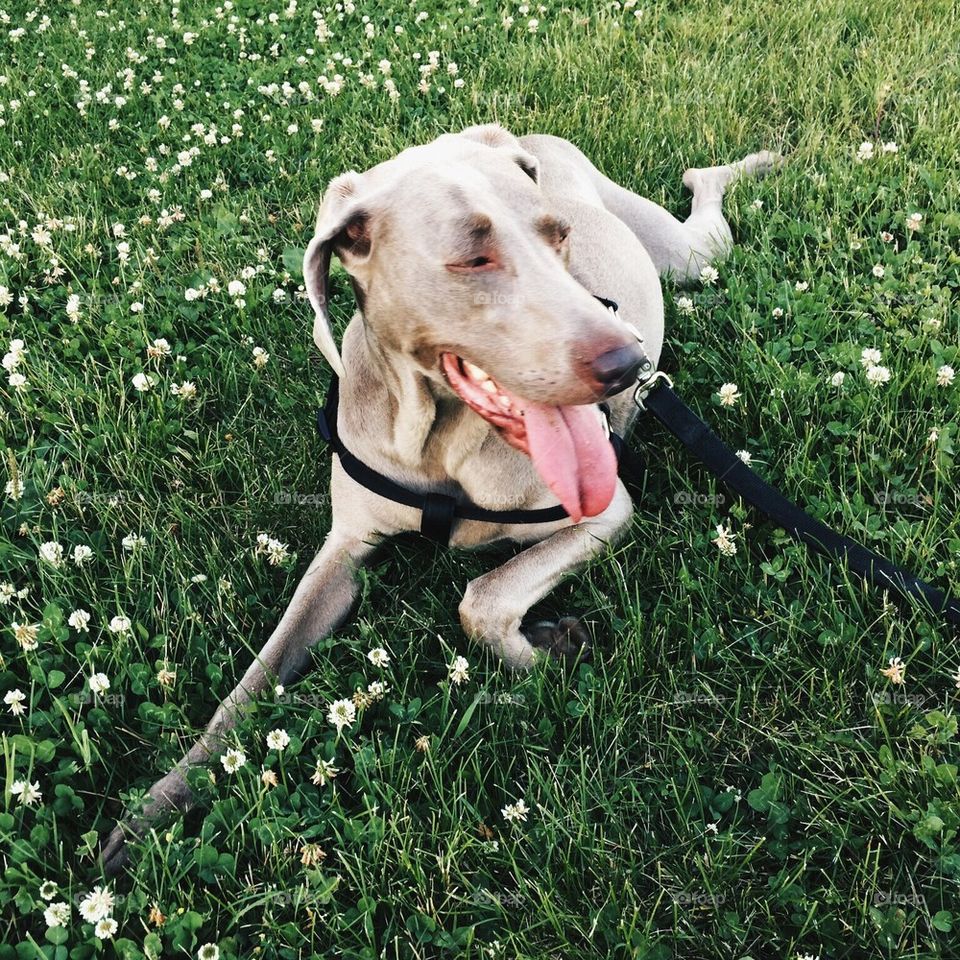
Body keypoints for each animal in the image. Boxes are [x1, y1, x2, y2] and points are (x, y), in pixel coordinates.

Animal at [103, 122, 780, 872]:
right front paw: (154, 810)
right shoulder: (343, 550)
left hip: (689, 259)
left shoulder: (604, 512)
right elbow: (253, 680)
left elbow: (481, 597)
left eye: (558, 235)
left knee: (706, 206)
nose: (627, 364)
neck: (438, 442)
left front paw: (548, 650)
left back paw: (742, 165)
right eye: (473, 257)